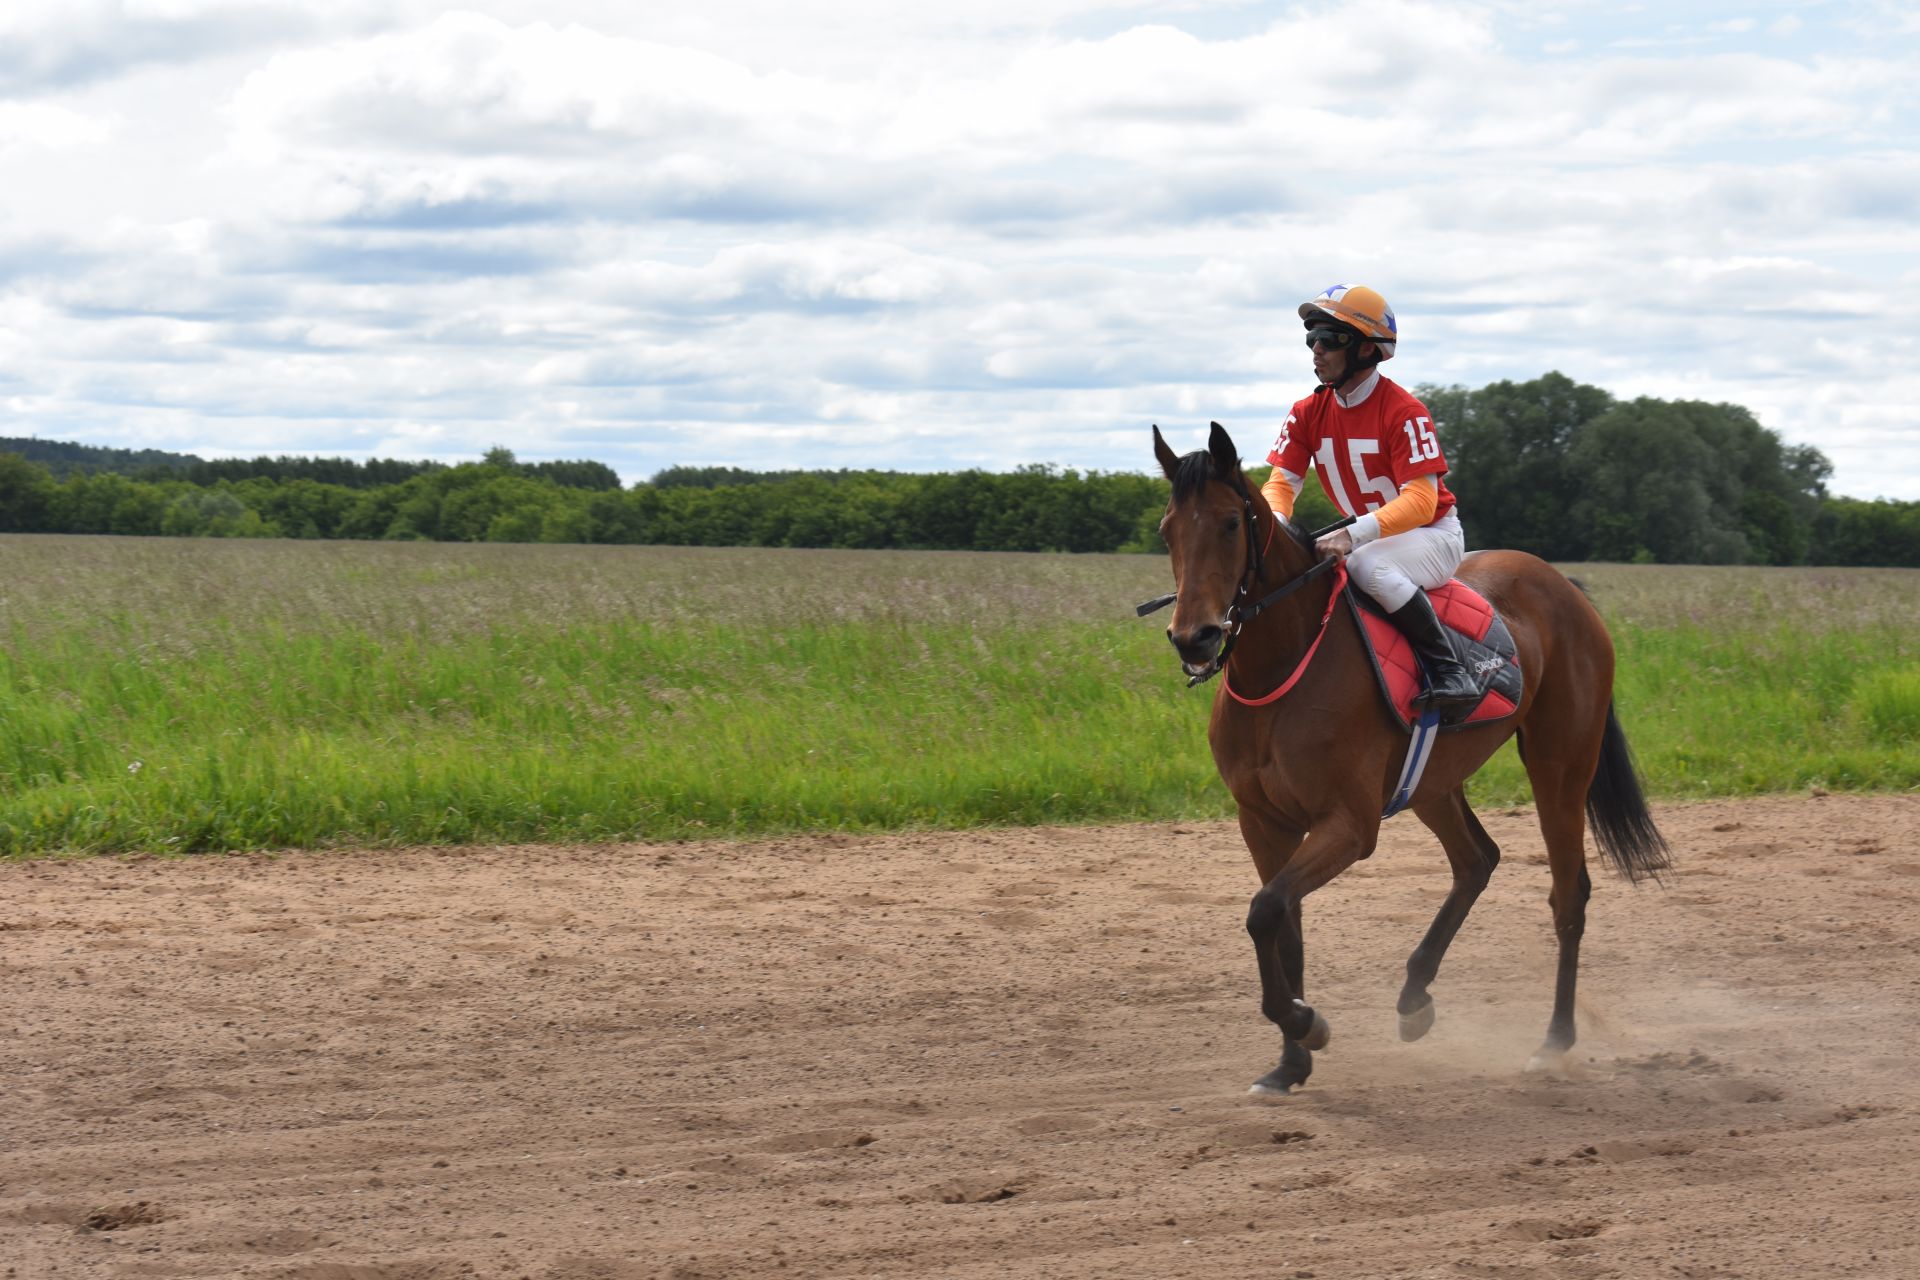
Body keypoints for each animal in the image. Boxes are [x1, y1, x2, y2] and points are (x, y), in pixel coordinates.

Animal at [1144, 418, 1674, 1090]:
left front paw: (1305, 1023)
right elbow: (1281, 925)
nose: (1195, 638)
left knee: (1568, 893)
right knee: (1477, 860)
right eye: (1168, 529)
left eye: (1231, 523)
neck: (1283, 666)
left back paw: (1554, 1039)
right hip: (1433, 782)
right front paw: (1290, 1061)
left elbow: (1265, 912)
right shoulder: (1261, 822)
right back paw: (1414, 997)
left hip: (1560, 764)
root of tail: (1563, 586)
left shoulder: (1349, 824)